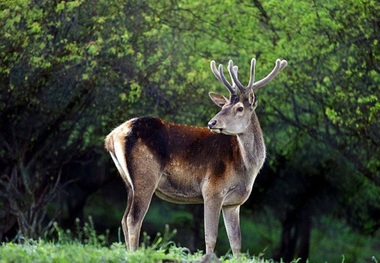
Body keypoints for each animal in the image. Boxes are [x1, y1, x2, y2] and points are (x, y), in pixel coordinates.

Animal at [104, 56, 288, 260]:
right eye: (223, 106)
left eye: (240, 108)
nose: (212, 122)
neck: (247, 169)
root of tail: (111, 137)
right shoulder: (212, 190)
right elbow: (211, 237)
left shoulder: (233, 203)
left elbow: (236, 242)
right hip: (145, 177)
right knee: (133, 219)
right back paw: (135, 254)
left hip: (128, 182)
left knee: (123, 218)